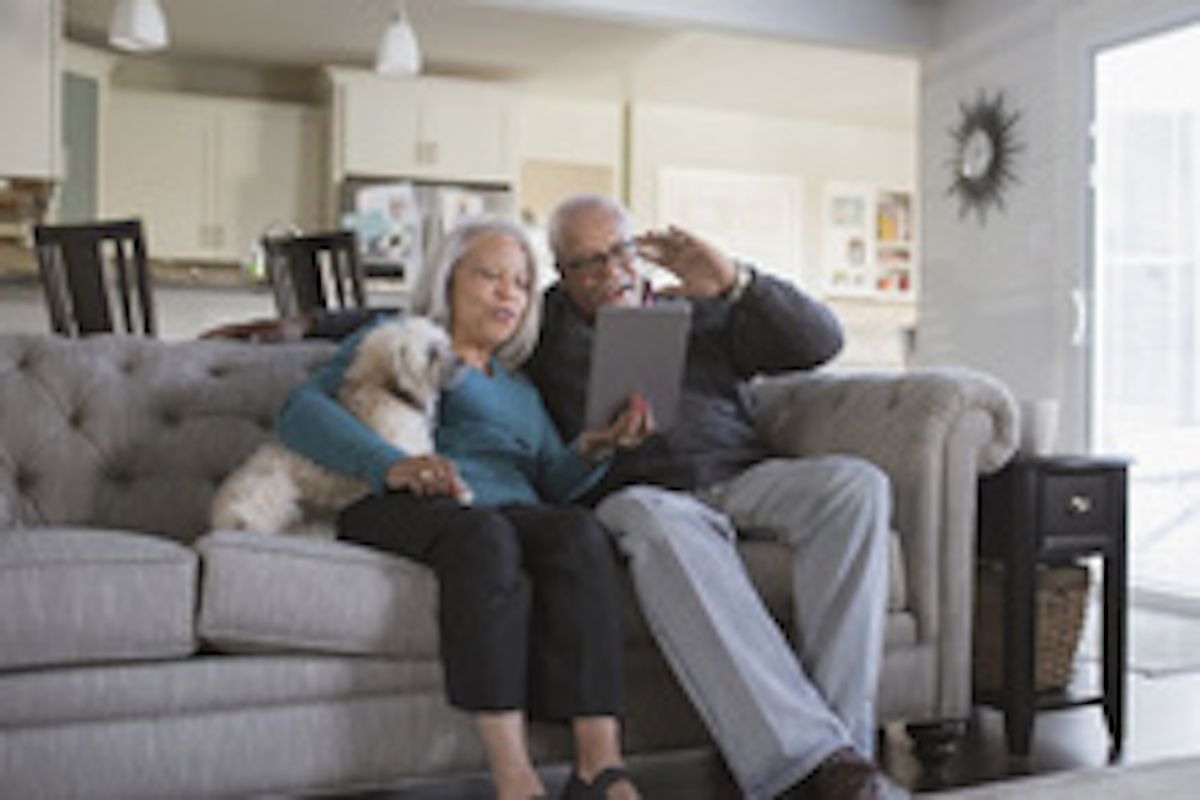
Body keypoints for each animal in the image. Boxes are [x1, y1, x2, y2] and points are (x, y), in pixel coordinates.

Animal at [211, 314, 463, 537]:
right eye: (432, 353)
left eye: (445, 344)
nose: (461, 361)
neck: (388, 390)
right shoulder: (408, 449)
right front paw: (461, 492)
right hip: (268, 497)